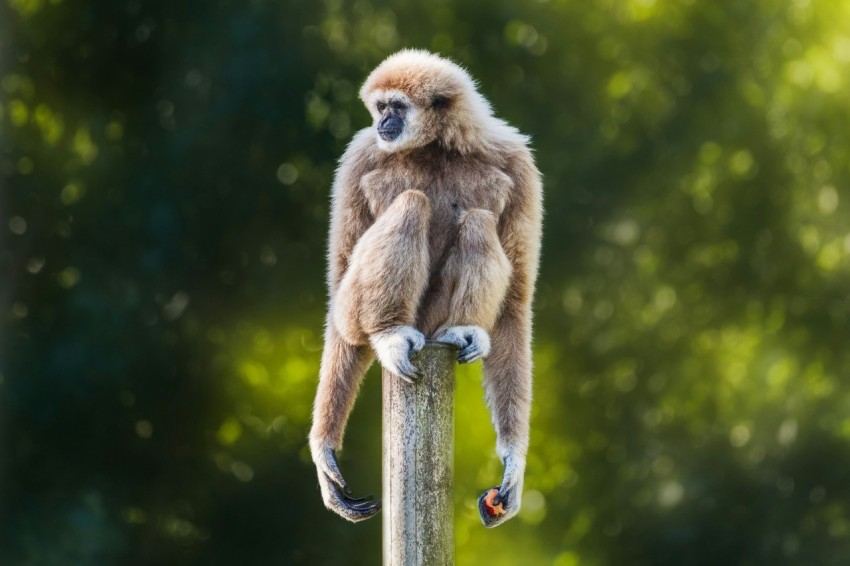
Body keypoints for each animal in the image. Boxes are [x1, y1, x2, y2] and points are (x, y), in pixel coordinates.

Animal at [308, 49, 542, 528]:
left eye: (395, 107)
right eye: (380, 108)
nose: (384, 123)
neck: (435, 146)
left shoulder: (517, 162)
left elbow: (515, 303)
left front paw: (514, 465)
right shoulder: (360, 156)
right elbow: (338, 283)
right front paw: (324, 452)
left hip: (434, 317)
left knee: (478, 220)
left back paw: (463, 329)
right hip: (376, 309)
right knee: (411, 205)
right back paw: (390, 334)